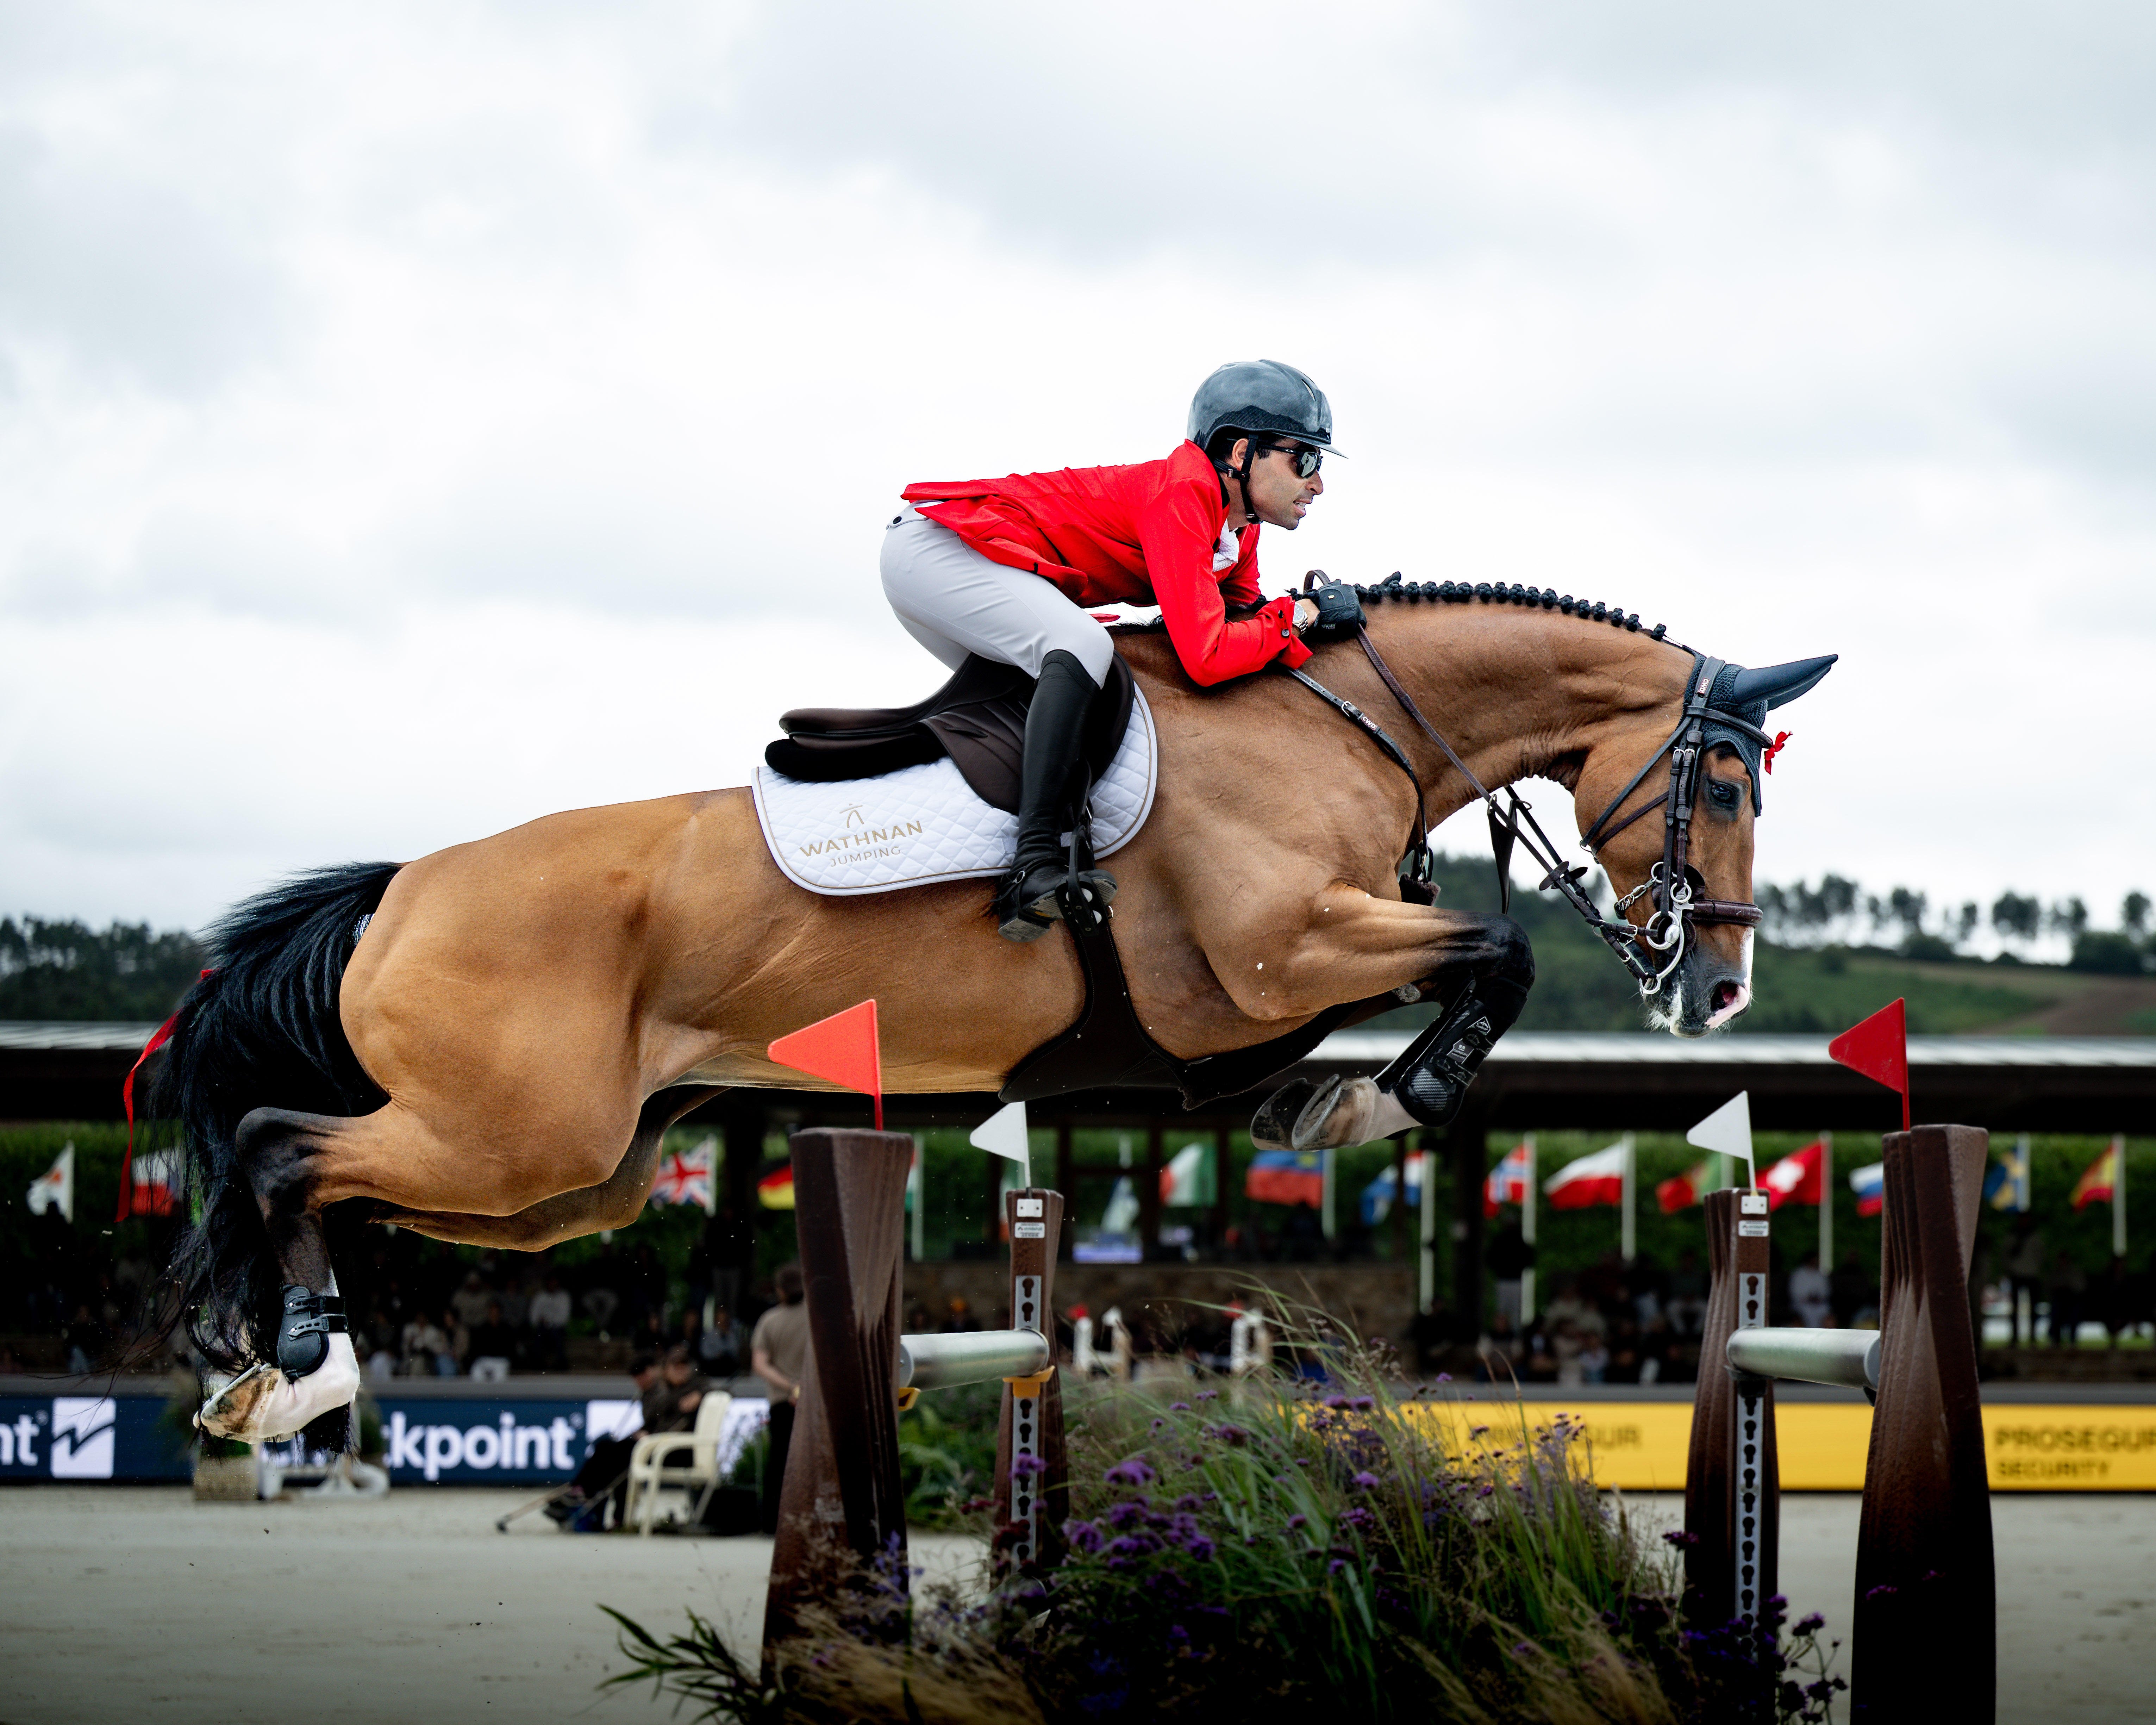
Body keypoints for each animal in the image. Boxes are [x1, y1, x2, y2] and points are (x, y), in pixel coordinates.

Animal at [148, 580, 1833, 1442]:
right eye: (1728, 783)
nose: (1719, 983)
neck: (1340, 719)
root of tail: (402, 888)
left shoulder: (1262, 995)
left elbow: (1450, 969)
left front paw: (1319, 1103)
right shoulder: (1272, 955)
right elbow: (1493, 953)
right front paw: (1369, 1101)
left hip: (570, 1174)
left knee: (319, 1164)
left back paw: (272, 1361)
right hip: (516, 1135)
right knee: (281, 1146)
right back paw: (298, 1354)